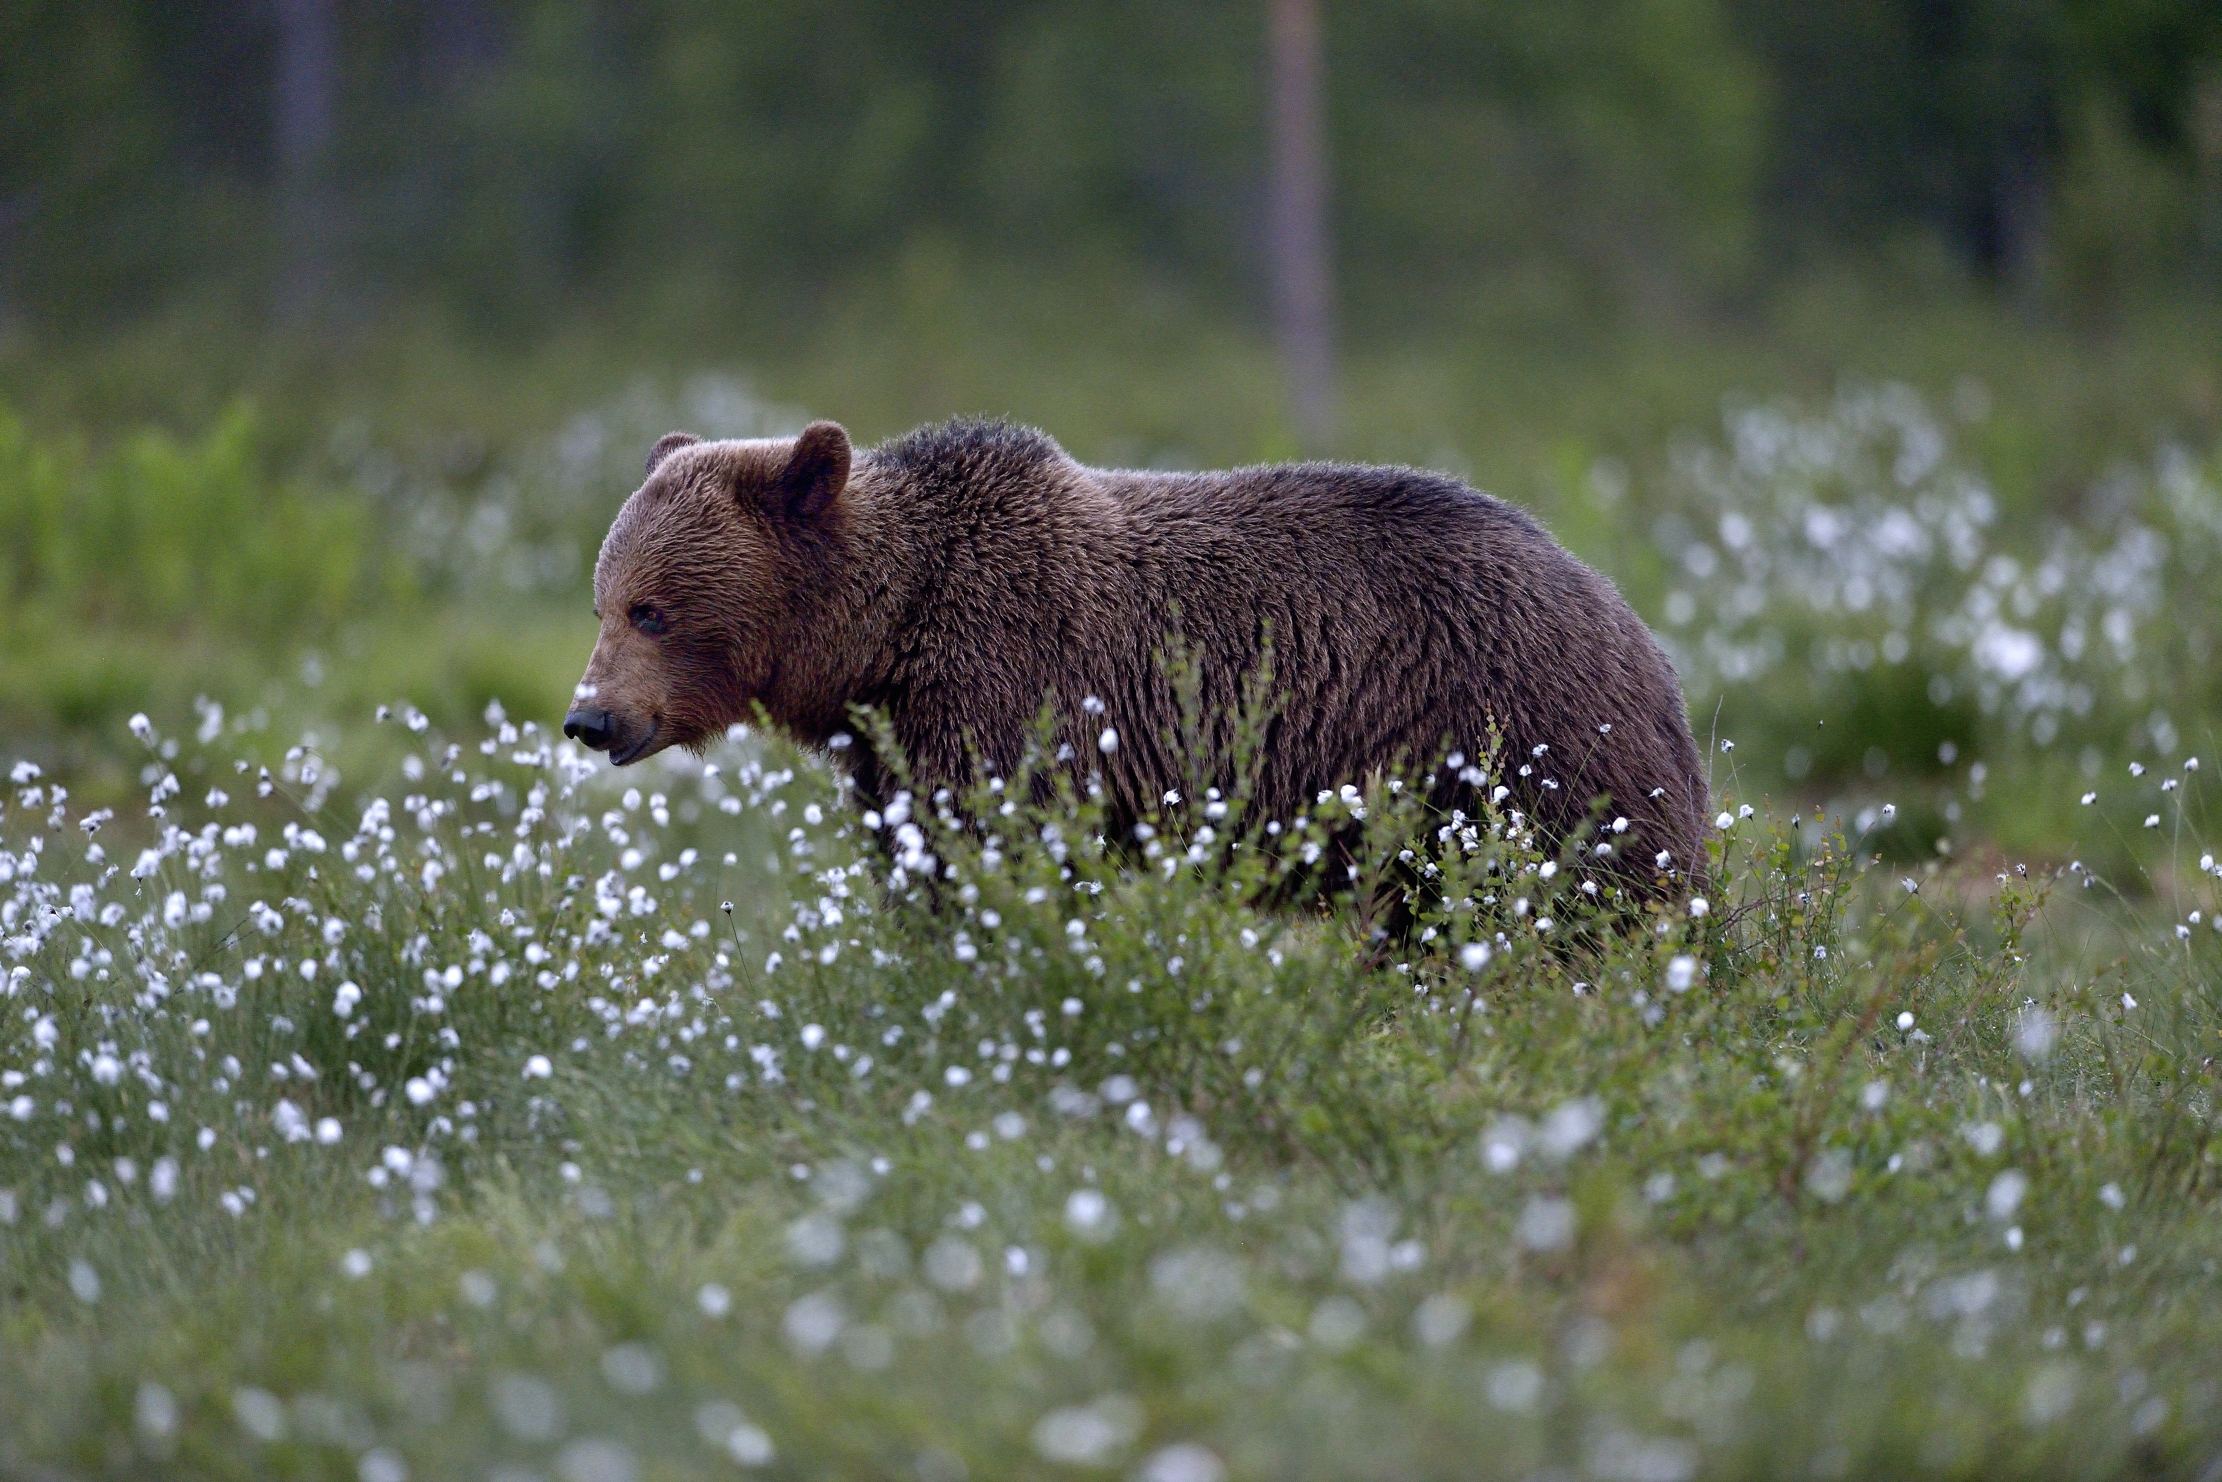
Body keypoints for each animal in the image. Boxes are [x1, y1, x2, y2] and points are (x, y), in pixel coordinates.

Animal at [564, 417, 1708, 888]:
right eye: (603, 601)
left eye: (651, 610)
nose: (588, 718)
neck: (883, 642)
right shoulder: (891, 747)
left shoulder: (1009, 691)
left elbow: (991, 850)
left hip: (1512, 736)